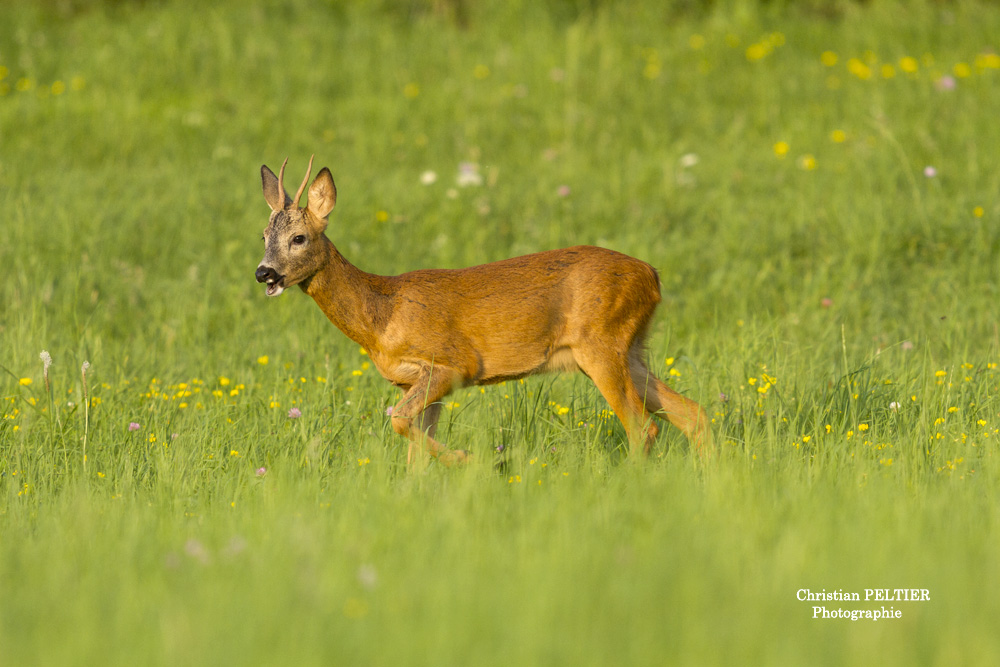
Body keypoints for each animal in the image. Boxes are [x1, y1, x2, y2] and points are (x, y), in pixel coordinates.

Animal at [256, 159, 712, 468]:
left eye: (299, 237)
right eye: (263, 236)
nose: (264, 272)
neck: (380, 315)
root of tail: (652, 275)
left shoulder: (450, 363)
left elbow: (399, 422)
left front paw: (473, 458)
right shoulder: (413, 381)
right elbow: (412, 453)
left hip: (601, 343)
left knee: (644, 426)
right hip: (628, 348)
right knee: (693, 414)